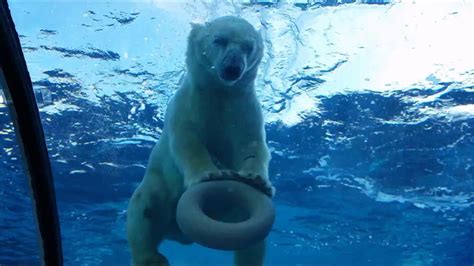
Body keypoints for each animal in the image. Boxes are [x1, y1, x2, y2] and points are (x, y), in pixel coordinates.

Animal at [126, 16, 274, 266]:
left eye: (248, 47)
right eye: (219, 40)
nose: (233, 68)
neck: (220, 92)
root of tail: (177, 232)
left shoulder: (244, 109)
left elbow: (252, 145)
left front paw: (257, 180)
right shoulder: (188, 104)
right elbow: (188, 142)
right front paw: (211, 173)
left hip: (229, 210)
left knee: (252, 239)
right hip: (158, 187)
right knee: (143, 211)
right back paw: (152, 258)